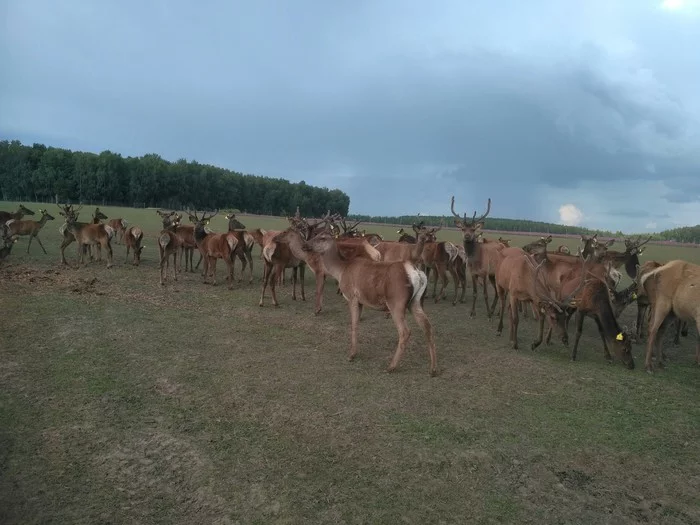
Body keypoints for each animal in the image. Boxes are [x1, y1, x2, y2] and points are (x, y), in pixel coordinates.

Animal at [300, 227, 438, 374]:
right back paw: (433, 369)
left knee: (405, 331)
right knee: (427, 326)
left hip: (397, 302)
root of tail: (417, 272)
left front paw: (351, 355)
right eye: (315, 235)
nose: (305, 245)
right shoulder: (361, 301)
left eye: (322, 238)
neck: (341, 270)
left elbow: (354, 324)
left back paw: (391, 366)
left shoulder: (352, 296)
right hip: (415, 302)